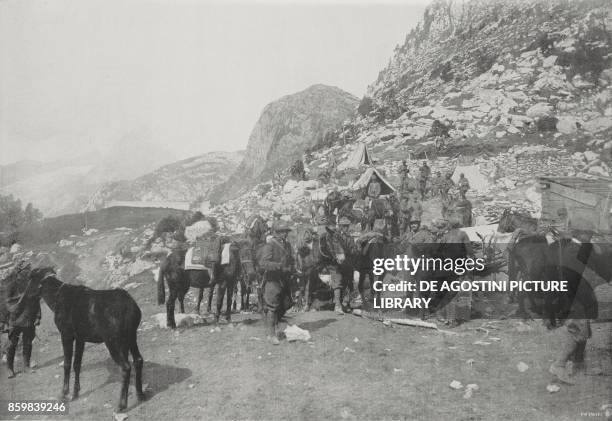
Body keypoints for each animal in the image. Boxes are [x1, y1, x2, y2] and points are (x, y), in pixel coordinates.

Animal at [28, 266, 145, 410]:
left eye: (30, 278)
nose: (27, 295)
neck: (56, 296)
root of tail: (130, 307)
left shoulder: (66, 334)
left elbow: (67, 364)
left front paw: (64, 393)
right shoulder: (80, 338)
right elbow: (77, 364)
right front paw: (75, 393)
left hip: (113, 341)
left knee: (126, 367)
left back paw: (121, 405)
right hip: (131, 336)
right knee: (138, 360)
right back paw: (140, 395)